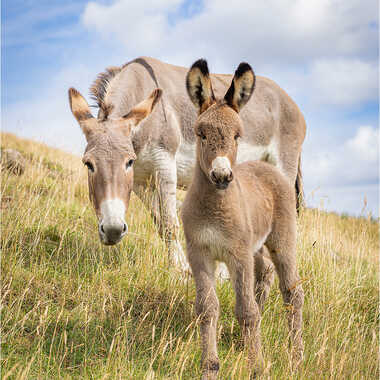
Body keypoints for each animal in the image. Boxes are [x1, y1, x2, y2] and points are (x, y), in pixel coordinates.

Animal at [182, 59, 306, 378]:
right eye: (201, 134)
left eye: (237, 135)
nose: (222, 176)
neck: (215, 208)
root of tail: (268, 167)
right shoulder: (199, 253)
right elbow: (207, 308)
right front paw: (210, 367)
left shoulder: (237, 255)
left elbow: (246, 311)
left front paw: (258, 368)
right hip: (256, 249)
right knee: (264, 278)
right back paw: (245, 344)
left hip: (282, 241)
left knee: (291, 293)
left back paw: (296, 358)